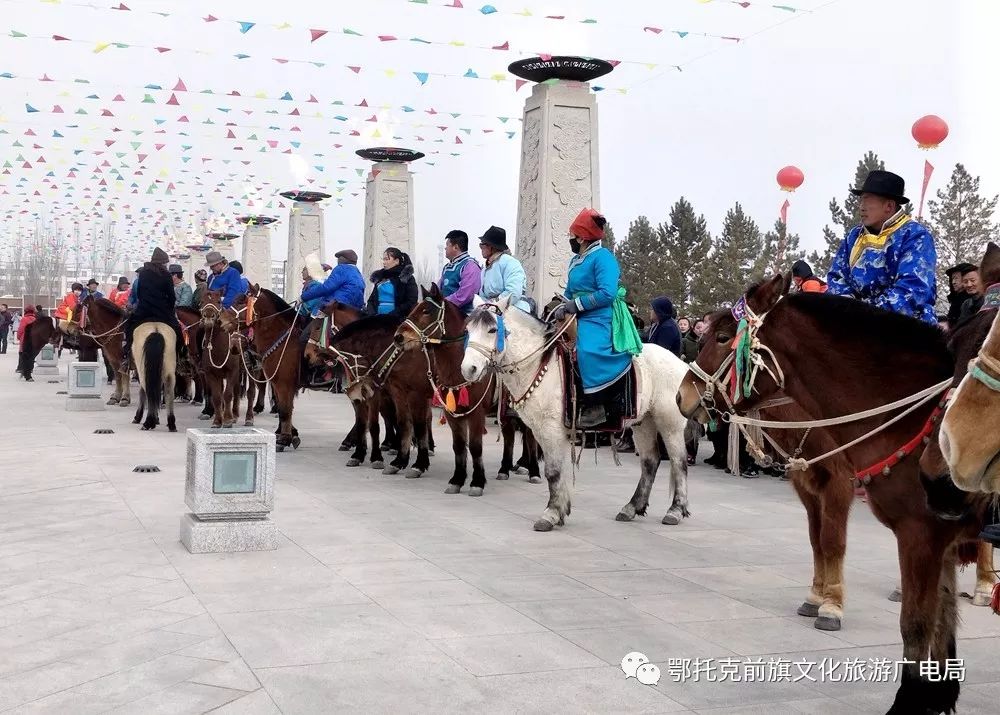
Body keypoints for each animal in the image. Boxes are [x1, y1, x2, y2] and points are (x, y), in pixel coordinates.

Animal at [462, 292, 692, 532]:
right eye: (468, 329)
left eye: (492, 330)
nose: (469, 369)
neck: (538, 364)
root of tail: (680, 363)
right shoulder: (542, 431)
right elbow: (557, 469)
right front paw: (561, 510)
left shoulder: (551, 429)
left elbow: (553, 471)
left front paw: (551, 513)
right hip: (643, 422)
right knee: (650, 462)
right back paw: (631, 507)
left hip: (669, 423)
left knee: (679, 462)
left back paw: (675, 510)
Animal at [676, 274, 988, 715]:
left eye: (721, 337)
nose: (681, 396)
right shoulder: (810, 486)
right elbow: (820, 543)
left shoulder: (907, 525)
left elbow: (907, 614)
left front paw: (832, 606)